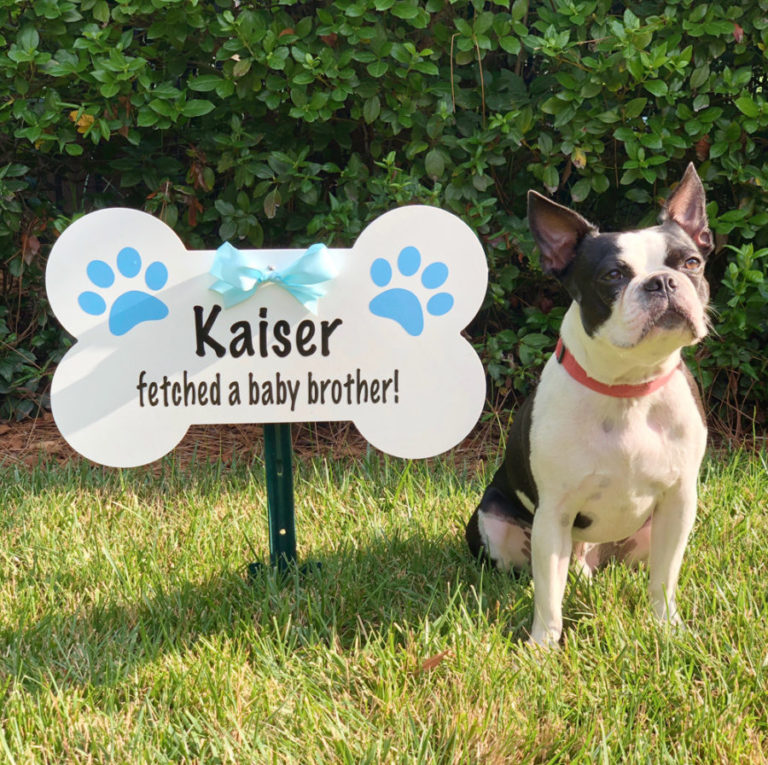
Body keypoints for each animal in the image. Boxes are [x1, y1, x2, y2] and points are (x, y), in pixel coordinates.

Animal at [468, 163, 712, 644]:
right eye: (612, 276)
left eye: (691, 263)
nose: (662, 281)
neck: (629, 387)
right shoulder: (554, 514)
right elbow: (547, 594)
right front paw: (543, 646)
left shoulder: (679, 503)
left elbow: (665, 579)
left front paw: (667, 628)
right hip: (495, 523)